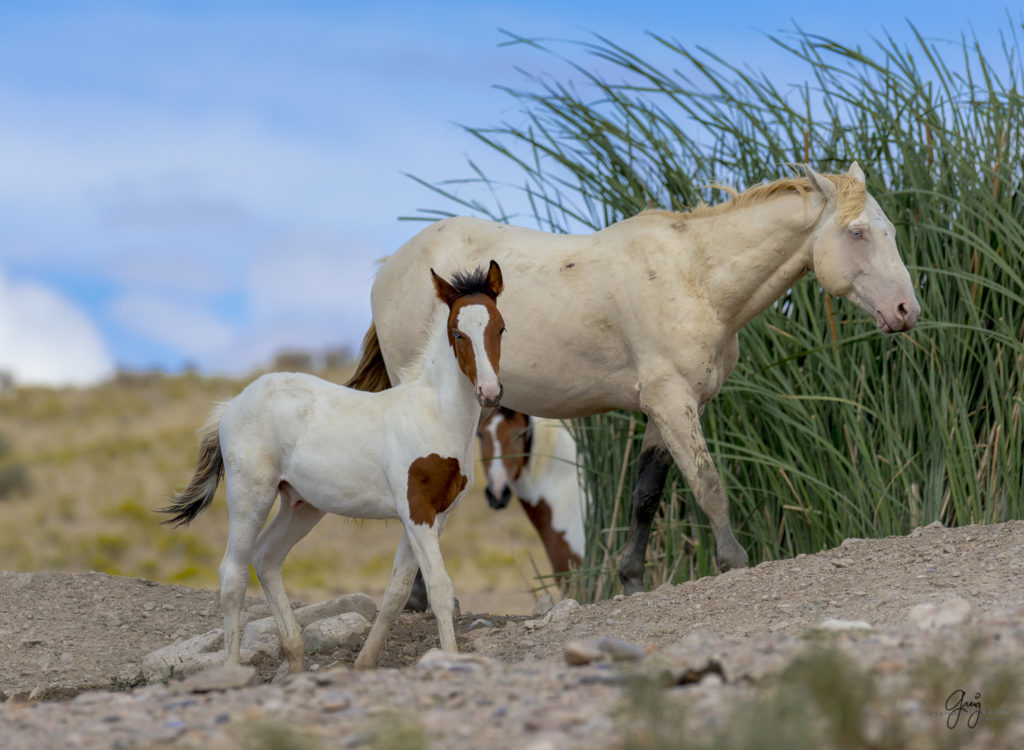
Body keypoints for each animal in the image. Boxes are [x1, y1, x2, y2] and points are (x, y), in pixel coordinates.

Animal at [160, 260, 507, 672]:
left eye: (500, 327)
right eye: (457, 332)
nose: (490, 392)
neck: (436, 414)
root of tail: (232, 404)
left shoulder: (435, 517)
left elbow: (397, 591)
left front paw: (364, 664)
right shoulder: (417, 511)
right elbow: (439, 588)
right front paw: (451, 659)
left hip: (301, 506)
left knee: (267, 558)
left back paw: (295, 663)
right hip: (250, 496)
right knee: (233, 573)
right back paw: (232, 670)